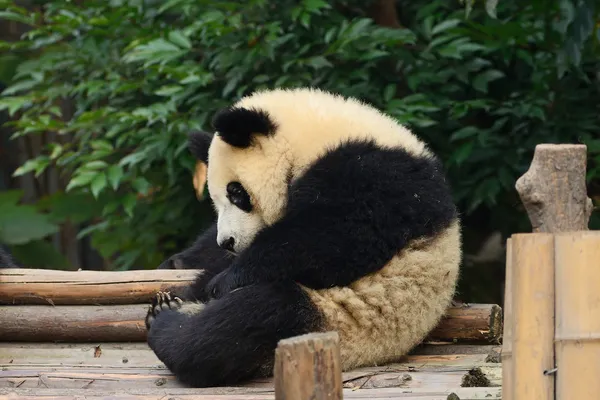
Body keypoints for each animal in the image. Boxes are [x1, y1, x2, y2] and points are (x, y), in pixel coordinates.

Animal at [144, 87, 460, 388]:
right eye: (216, 200)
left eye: (236, 193)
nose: (229, 242)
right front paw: (180, 264)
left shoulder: (378, 174)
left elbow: (342, 235)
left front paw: (226, 280)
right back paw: (173, 302)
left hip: (344, 319)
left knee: (251, 318)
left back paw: (167, 321)